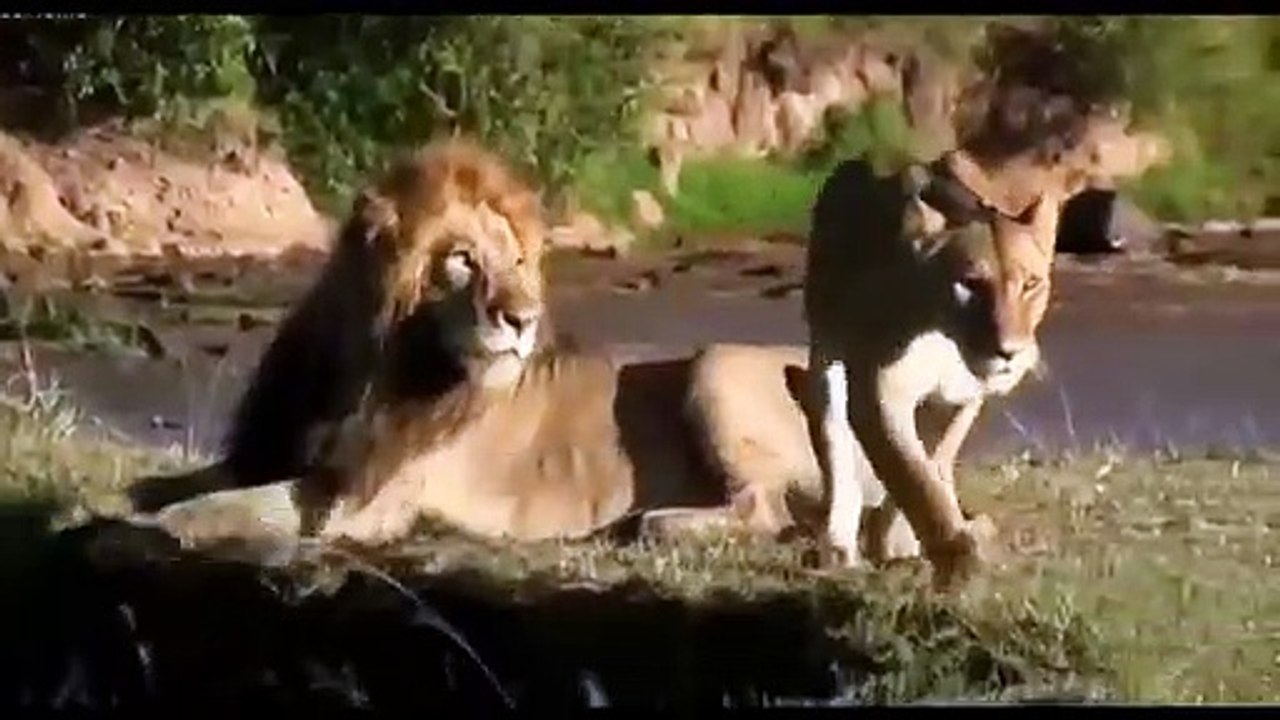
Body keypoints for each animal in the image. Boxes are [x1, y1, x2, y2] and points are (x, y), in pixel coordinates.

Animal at [125, 136, 549, 514]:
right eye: (463, 259)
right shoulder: (264, 452)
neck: (365, 378)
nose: (525, 319)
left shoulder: (375, 493)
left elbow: (229, 506)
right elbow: (200, 482)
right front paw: (145, 494)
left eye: (517, 263)